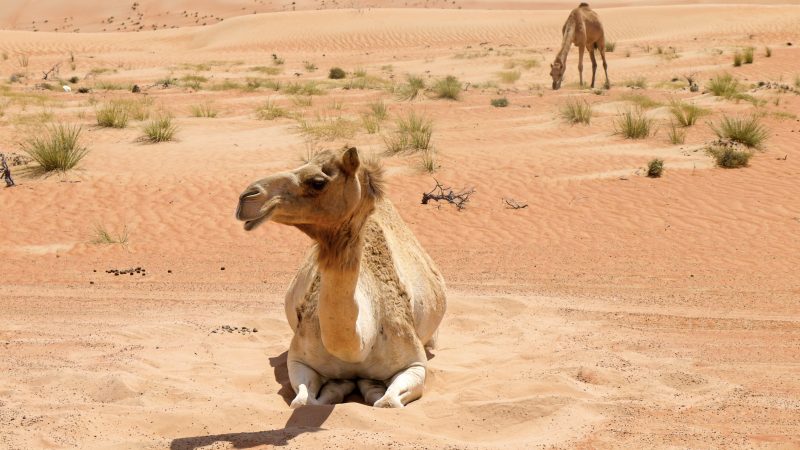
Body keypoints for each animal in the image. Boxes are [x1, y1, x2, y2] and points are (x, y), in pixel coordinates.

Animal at [236, 147, 446, 408]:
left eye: (318, 182)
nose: (247, 197)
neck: (359, 345)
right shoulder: (298, 360)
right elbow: (304, 401)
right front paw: (342, 384)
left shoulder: (415, 363)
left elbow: (387, 402)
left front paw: (369, 386)